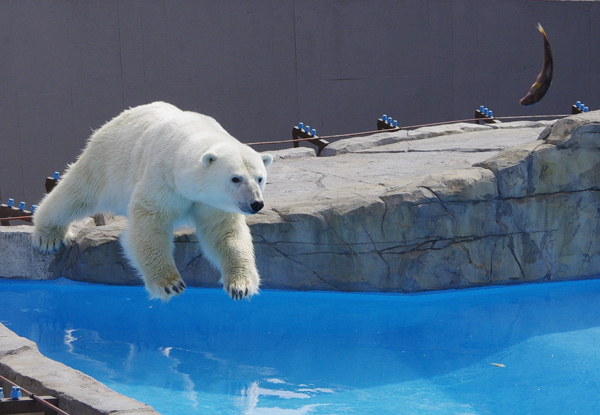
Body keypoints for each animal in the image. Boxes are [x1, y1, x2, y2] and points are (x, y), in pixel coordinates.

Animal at [32, 102, 272, 300]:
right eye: (235, 178)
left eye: (260, 178)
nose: (256, 204)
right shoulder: (162, 177)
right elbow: (149, 223)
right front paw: (170, 284)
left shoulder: (212, 202)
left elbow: (224, 232)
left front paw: (240, 285)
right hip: (107, 161)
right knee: (76, 193)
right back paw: (48, 236)